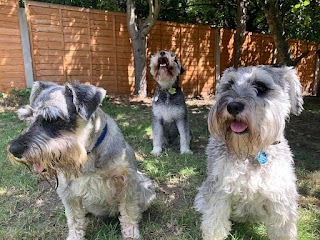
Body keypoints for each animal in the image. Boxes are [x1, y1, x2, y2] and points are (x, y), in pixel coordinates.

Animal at [8, 81, 156, 240]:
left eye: (53, 119)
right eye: (28, 118)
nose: (14, 149)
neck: (87, 154)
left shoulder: (127, 183)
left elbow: (129, 211)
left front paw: (132, 233)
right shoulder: (67, 192)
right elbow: (74, 218)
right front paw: (75, 236)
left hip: (146, 188)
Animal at [194, 65, 304, 240]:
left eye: (261, 87)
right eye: (229, 85)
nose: (233, 106)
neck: (250, 153)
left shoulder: (280, 196)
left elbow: (282, 230)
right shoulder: (219, 189)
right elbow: (215, 223)